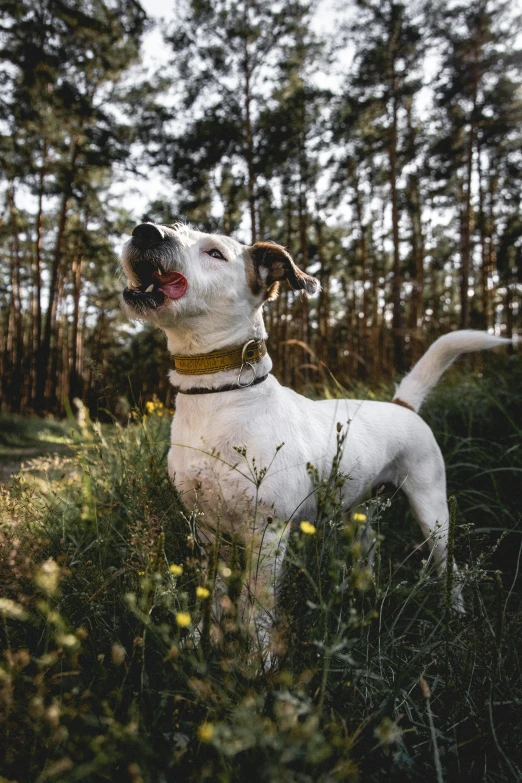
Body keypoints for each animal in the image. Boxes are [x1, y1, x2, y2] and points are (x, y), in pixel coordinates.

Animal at [121, 222, 508, 620]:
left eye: (215, 253)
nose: (144, 231)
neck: (218, 395)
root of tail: (403, 405)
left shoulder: (268, 534)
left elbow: (257, 611)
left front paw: (254, 639)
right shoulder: (207, 531)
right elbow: (211, 599)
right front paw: (205, 633)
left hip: (431, 509)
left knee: (450, 565)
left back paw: (455, 611)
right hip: (360, 510)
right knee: (368, 550)